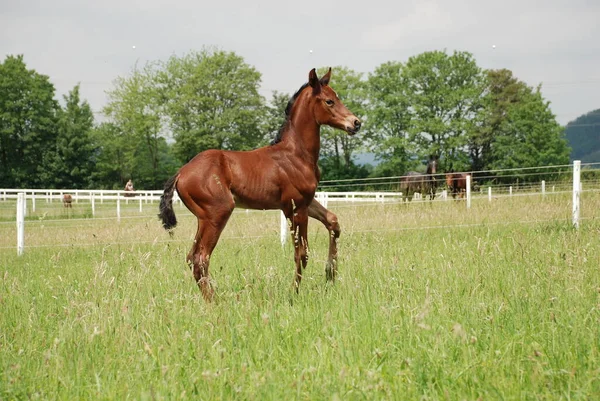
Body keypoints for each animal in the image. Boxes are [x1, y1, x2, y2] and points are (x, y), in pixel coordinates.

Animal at [157, 68, 360, 300]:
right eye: (329, 101)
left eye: (337, 97)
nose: (356, 123)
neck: (295, 154)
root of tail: (181, 172)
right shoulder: (294, 207)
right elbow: (302, 253)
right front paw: (293, 293)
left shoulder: (306, 202)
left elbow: (333, 222)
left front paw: (330, 274)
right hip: (217, 214)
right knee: (201, 257)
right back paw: (215, 301)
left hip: (204, 218)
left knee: (192, 257)